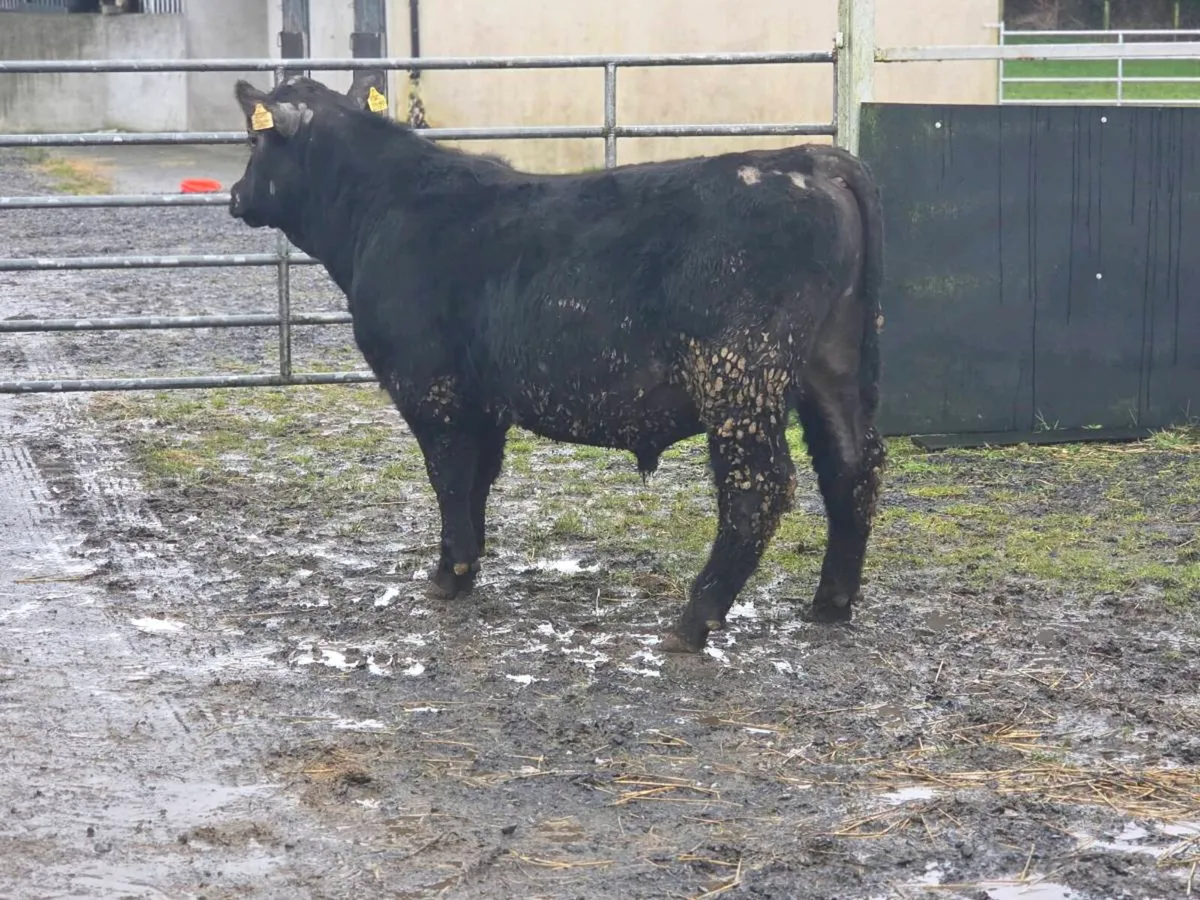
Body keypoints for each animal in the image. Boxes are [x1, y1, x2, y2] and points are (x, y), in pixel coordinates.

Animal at [227, 72, 886, 654]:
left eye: (254, 141)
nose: (234, 196)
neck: (381, 209)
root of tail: (807, 158)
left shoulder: (429, 386)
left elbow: (448, 475)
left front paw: (448, 575)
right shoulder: (481, 399)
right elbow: (477, 478)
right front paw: (466, 566)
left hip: (739, 378)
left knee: (758, 486)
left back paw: (694, 619)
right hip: (830, 368)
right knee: (852, 465)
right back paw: (830, 603)